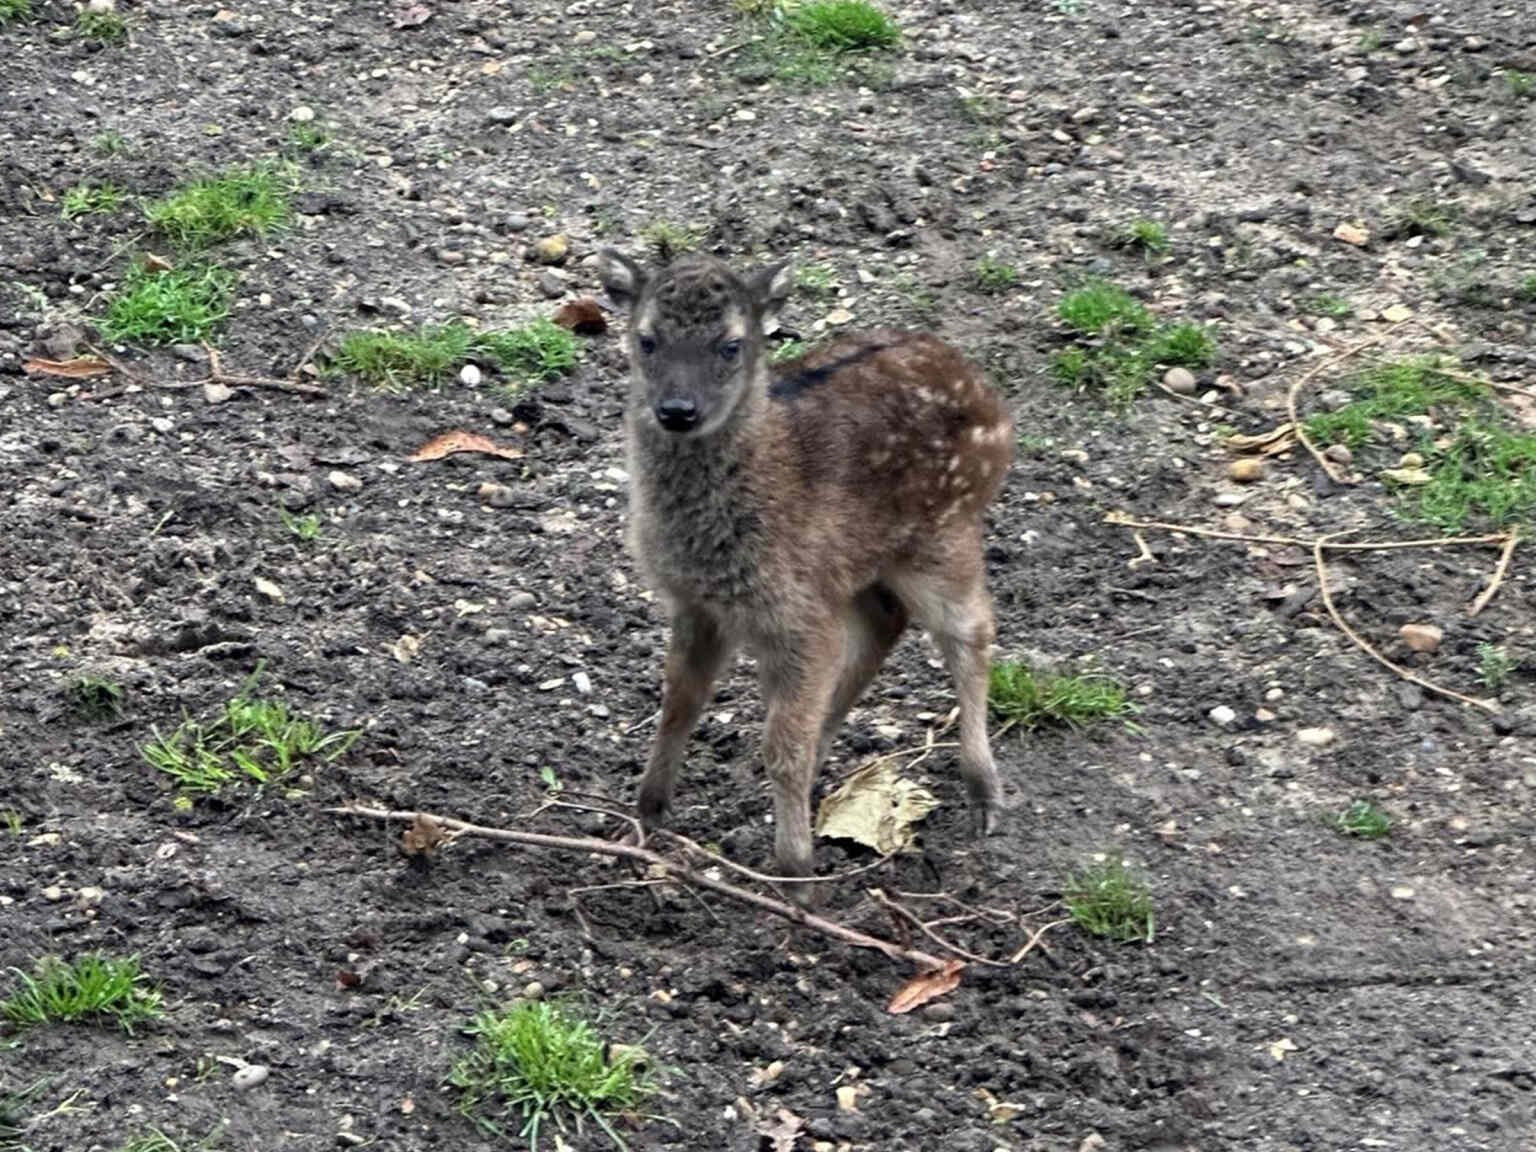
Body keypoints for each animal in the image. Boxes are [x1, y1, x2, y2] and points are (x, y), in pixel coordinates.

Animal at [602, 250, 1019, 884]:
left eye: (731, 345)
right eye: (647, 339)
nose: (677, 410)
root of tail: (990, 399)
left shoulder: (797, 614)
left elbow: (781, 745)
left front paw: (796, 877)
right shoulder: (697, 603)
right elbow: (679, 705)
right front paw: (645, 819)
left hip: (942, 536)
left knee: (969, 630)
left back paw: (984, 797)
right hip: (866, 567)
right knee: (887, 625)